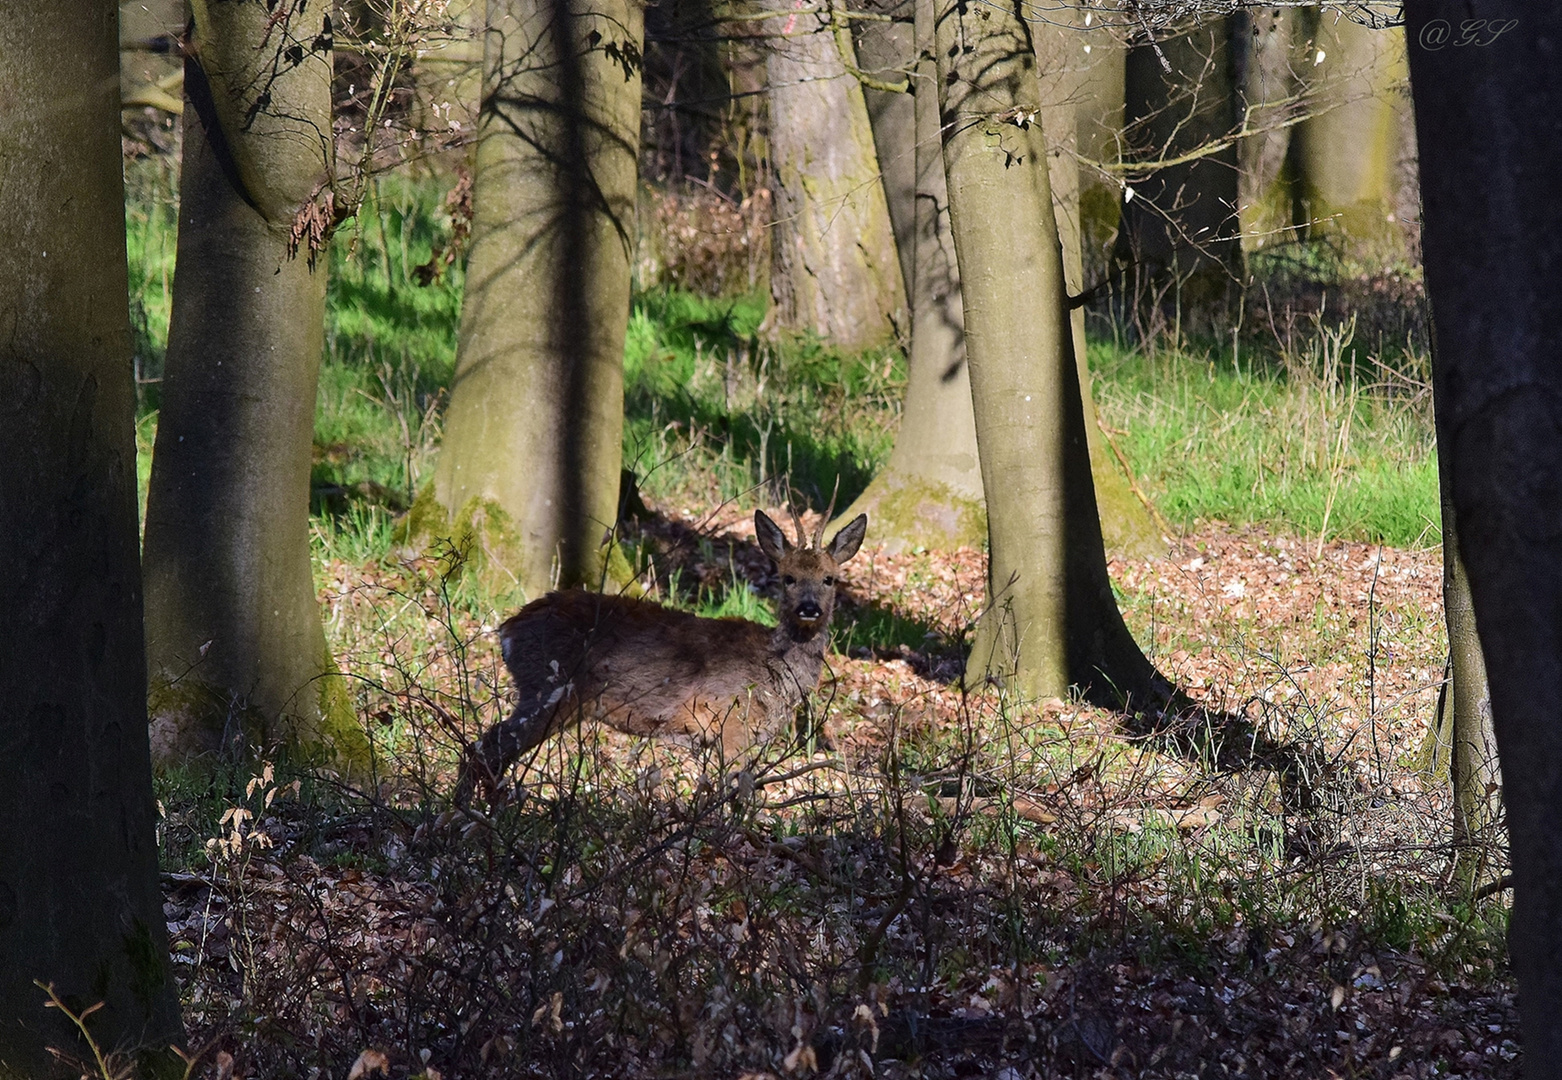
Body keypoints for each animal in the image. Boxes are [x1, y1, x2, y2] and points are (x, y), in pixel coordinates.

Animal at [456, 506, 868, 800]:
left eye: (829, 579)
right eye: (788, 577)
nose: (809, 608)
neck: (774, 672)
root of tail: (507, 631)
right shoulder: (730, 726)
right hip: (547, 687)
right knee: (484, 748)